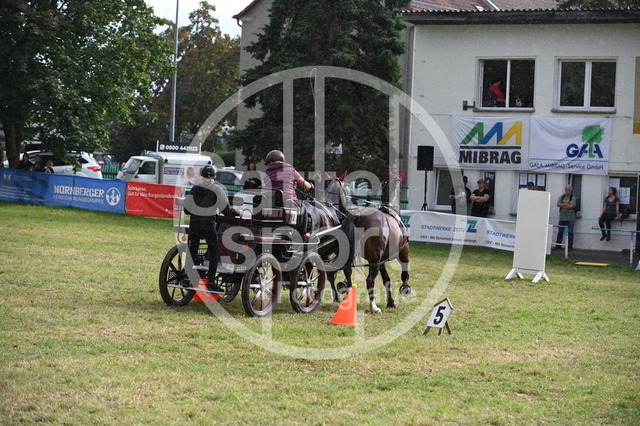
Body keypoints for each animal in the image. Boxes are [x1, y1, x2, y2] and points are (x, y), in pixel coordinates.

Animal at [340, 171, 410, 314]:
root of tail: (359, 216)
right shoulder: (404, 252)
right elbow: (404, 273)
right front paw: (405, 288)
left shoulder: (381, 260)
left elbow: (387, 279)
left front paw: (391, 302)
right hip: (375, 262)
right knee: (370, 280)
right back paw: (373, 307)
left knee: (348, 272)